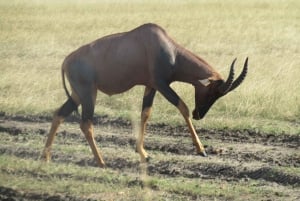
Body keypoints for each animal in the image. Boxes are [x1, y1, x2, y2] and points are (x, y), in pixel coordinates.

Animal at [42, 23, 248, 168]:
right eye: (213, 92)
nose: (199, 114)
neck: (166, 47)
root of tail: (66, 61)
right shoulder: (162, 85)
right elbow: (182, 107)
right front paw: (201, 150)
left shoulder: (151, 87)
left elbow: (146, 113)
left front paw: (142, 152)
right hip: (87, 94)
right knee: (86, 124)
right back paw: (101, 162)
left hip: (78, 94)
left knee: (59, 114)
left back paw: (46, 157)